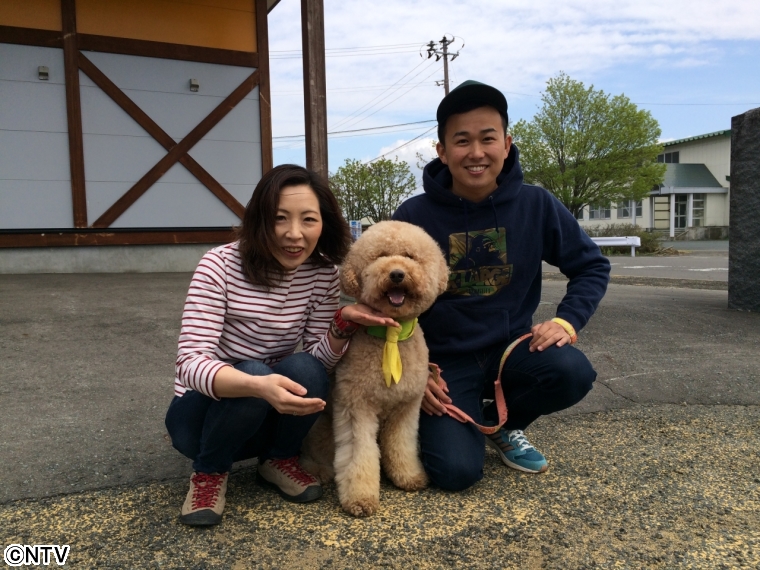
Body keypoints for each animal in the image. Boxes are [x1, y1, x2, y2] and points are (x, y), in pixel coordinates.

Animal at [300, 220, 449, 517]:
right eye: (380, 255)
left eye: (410, 256)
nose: (397, 274)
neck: (390, 336)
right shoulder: (356, 407)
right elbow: (359, 454)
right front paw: (360, 498)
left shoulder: (406, 408)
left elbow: (402, 443)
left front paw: (408, 476)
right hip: (320, 426)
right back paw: (317, 470)